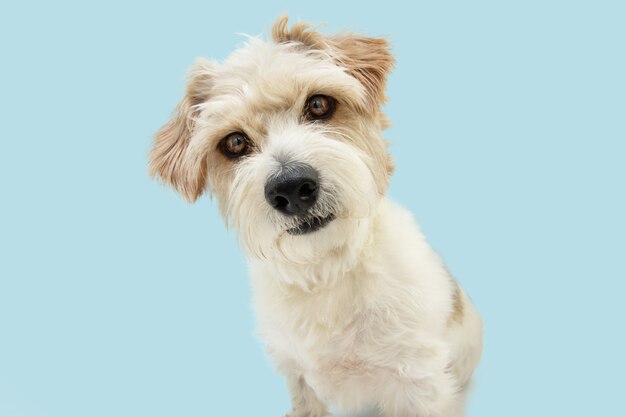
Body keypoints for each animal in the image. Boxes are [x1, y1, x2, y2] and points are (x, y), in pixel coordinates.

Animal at [150, 16, 482, 416]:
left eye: (319, 104)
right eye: (234, 143)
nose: (291, 188)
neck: (327, 272)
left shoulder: (419, 383)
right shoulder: (298, 378)